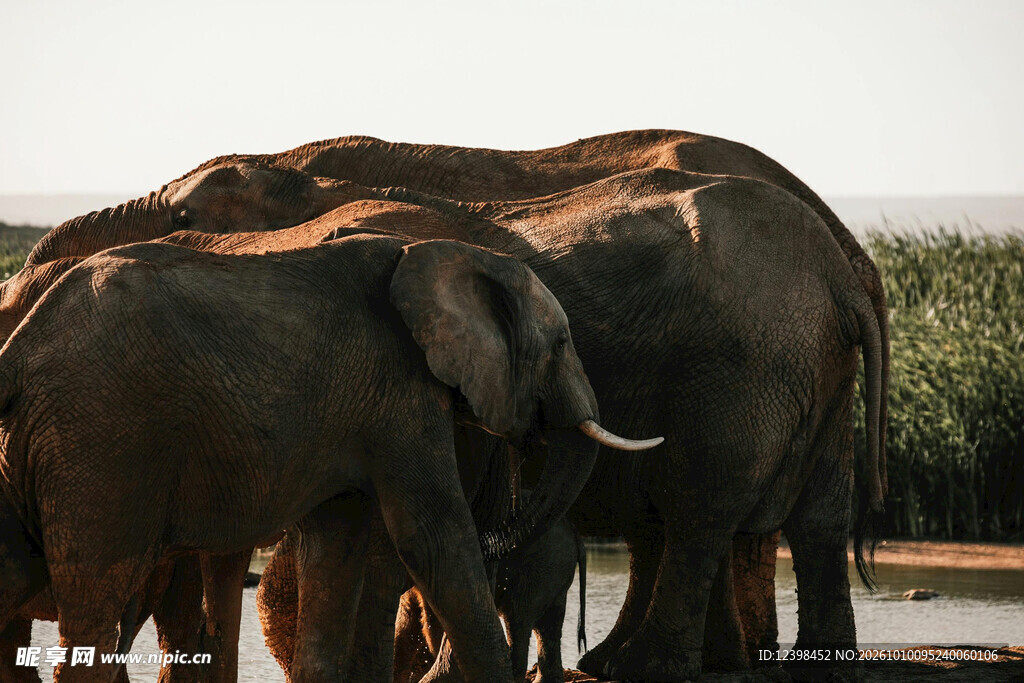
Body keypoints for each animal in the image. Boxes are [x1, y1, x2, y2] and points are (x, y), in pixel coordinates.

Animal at [0, 233, 660, 681]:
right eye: (562, 343)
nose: (505, 527)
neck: (446, 255)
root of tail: (20, 347)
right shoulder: (400, 392)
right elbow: (433, 537)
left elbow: (337, 546)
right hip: (100, 441)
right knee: (96, 600)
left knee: (19, 572)